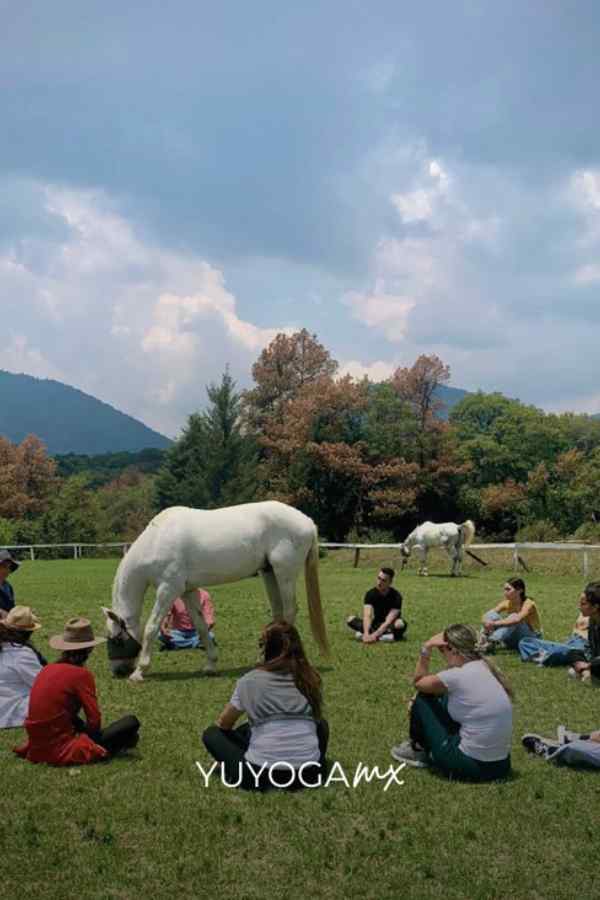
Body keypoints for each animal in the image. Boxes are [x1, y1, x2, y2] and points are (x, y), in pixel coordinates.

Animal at [103, 500, 328, 684]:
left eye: (116, 639)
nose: (118, 671)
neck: (157, 539)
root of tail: (308, 522)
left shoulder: (168, 589)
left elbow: (151, 627)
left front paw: (139, 672)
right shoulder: (188, 591)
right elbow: (201, 626)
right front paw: (211, 665)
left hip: (284, 573)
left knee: (289, 611)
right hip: (269, 573)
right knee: (278, 612)